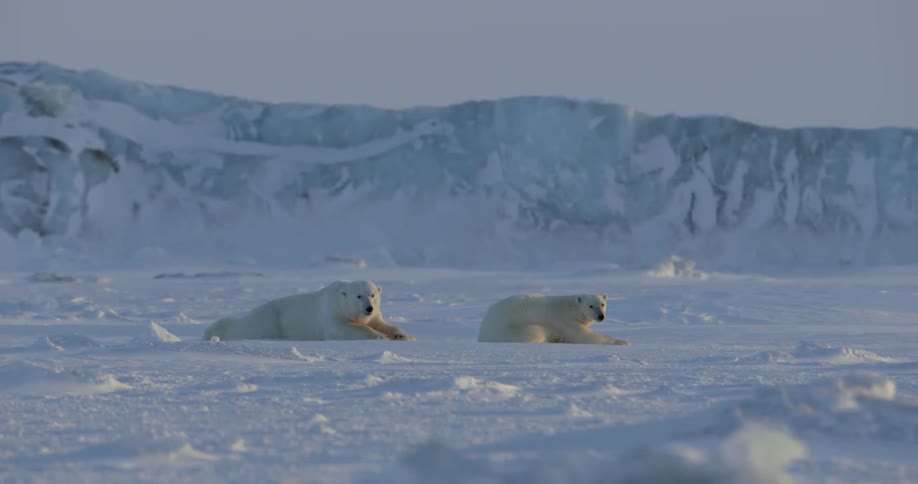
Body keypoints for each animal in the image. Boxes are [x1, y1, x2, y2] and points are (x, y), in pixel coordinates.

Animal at [203, 280, 414, 341]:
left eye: (372, 294)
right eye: (358, 296)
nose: (368, 308)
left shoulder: (374, 316)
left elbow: (382, 324)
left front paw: (403, 335)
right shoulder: (330, 312)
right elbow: (343, 329)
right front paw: (380, 337)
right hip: (267, 321)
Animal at [477, 293, 629, 345]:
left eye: (602, 304)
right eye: (590, 306)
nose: (600, 316)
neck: (571, 308)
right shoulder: (565, 321)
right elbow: (585, 337)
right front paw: (623, 341)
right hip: (510, 329)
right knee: (535, 332)